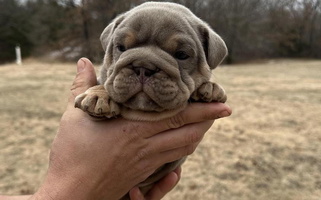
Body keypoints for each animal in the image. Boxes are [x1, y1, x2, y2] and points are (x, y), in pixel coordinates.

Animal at [74, 1, 226, 198]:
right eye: (121, 47)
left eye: (181, 54)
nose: (143, 66)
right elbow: (104, 83)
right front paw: (98, 95)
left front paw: (211, 88)